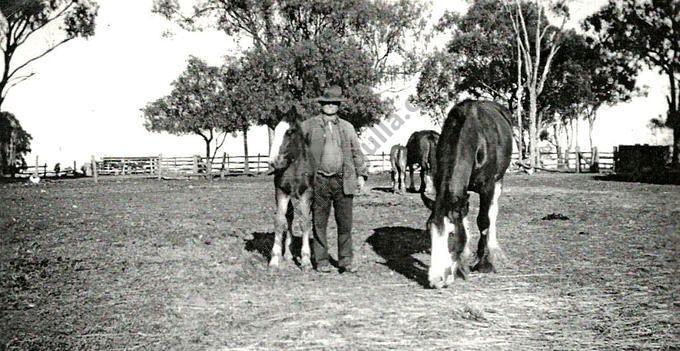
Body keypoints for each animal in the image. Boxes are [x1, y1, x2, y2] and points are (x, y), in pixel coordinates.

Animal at [268, 110, 316, 270]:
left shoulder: (306, 194)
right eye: (275, 130)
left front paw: (306, 260)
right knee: (289, 217)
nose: (273, 161)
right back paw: (288, 254)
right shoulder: (282, 192)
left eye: (289, 132)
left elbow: (305, 222)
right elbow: (279, 221)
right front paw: (274, 259)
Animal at [422, 100, 512, 290]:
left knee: (493, 213)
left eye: (451, 234)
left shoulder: (487, 186)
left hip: (499, 179)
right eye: (429, 232)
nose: (436, 280)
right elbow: (463, 219)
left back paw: (493, 250)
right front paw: (462, 262)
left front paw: (484, 263)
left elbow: (484, 221)